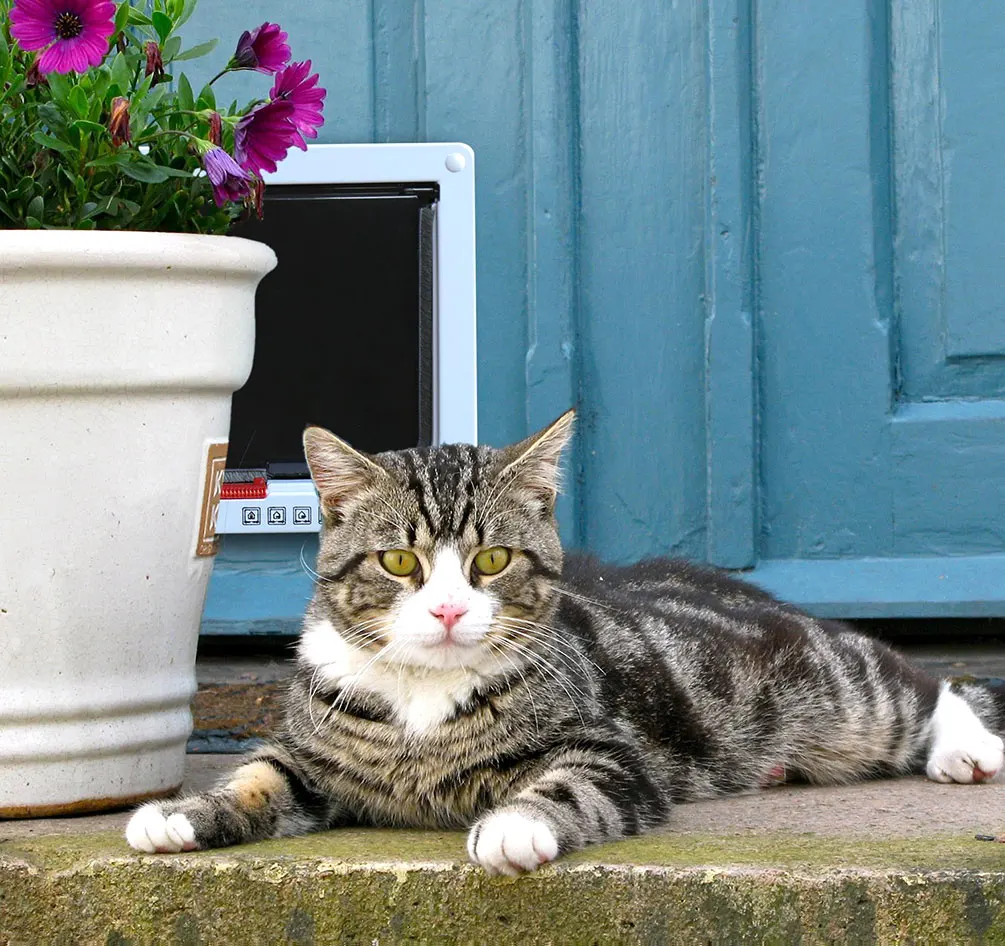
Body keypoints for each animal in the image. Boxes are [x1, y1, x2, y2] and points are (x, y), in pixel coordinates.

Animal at [125, 410, 1005, 876]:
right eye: (400, 561)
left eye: (490, 560)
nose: (449, 611)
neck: (421, 698)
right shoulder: (313, 757)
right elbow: (261, 777)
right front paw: (181, 813)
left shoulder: (608, 748)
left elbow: (569, 782)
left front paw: (515, 824)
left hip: (826, 686)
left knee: (915, 682)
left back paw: (964, 746)